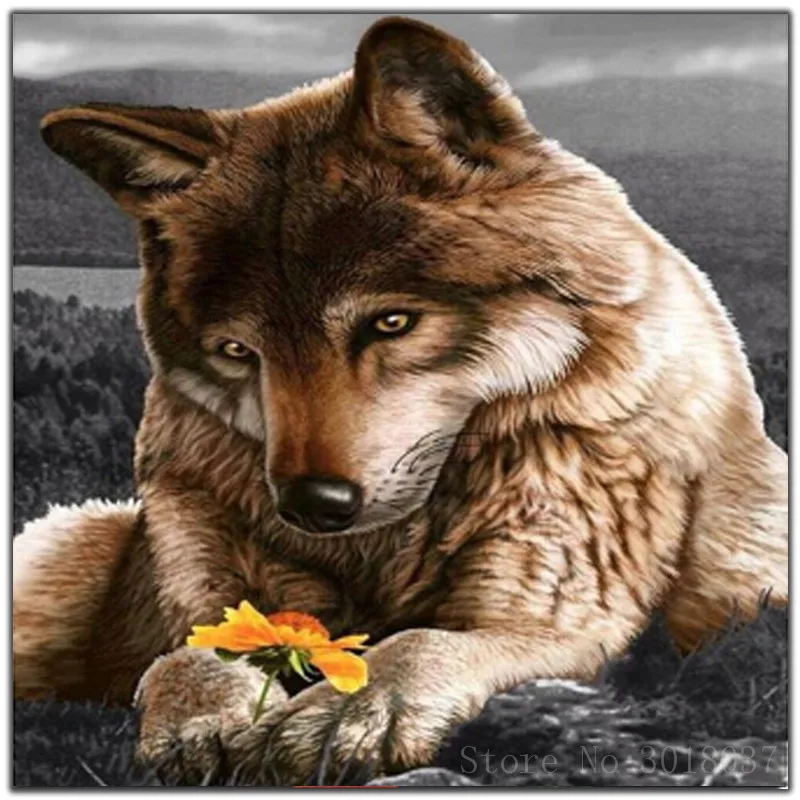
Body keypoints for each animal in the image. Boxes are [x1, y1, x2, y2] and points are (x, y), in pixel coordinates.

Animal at [14, 16, 787, 785]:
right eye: (237, 352)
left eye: (390, 323)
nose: (311, 505)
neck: (382, 553)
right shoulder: (205, 585)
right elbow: (191, 653)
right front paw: (200, 719)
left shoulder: (553, 616)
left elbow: (417, 642)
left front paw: (351, 712)